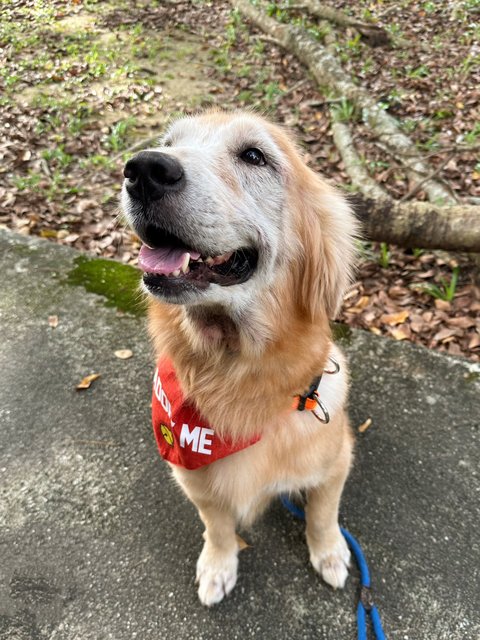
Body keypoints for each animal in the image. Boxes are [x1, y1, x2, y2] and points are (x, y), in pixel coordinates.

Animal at [122, 110, 358, 604]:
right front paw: (218, 565)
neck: (235, 372)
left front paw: (329, 553)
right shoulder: (192, 477)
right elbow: (217, 526)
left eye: (254, 156)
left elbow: (323, 514)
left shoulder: (336, 462)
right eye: (168, 143)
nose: (144, 169)